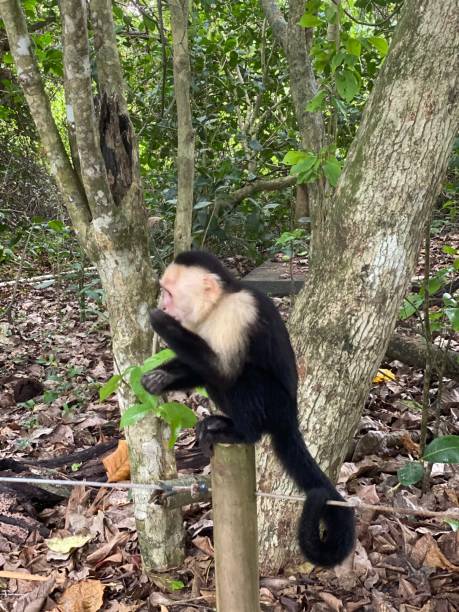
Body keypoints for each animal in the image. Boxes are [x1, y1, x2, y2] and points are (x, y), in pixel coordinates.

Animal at [142, 250, 358, 568]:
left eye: (168, 293)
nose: (163, 305)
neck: (217, 307)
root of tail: (291, 418)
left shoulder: (238, 313)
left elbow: (225, 370)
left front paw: (162, 323)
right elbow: (206, 370)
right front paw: (161, 378)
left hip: (276, 406)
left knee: (244, 377)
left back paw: (243, 434)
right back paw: (222, 423)